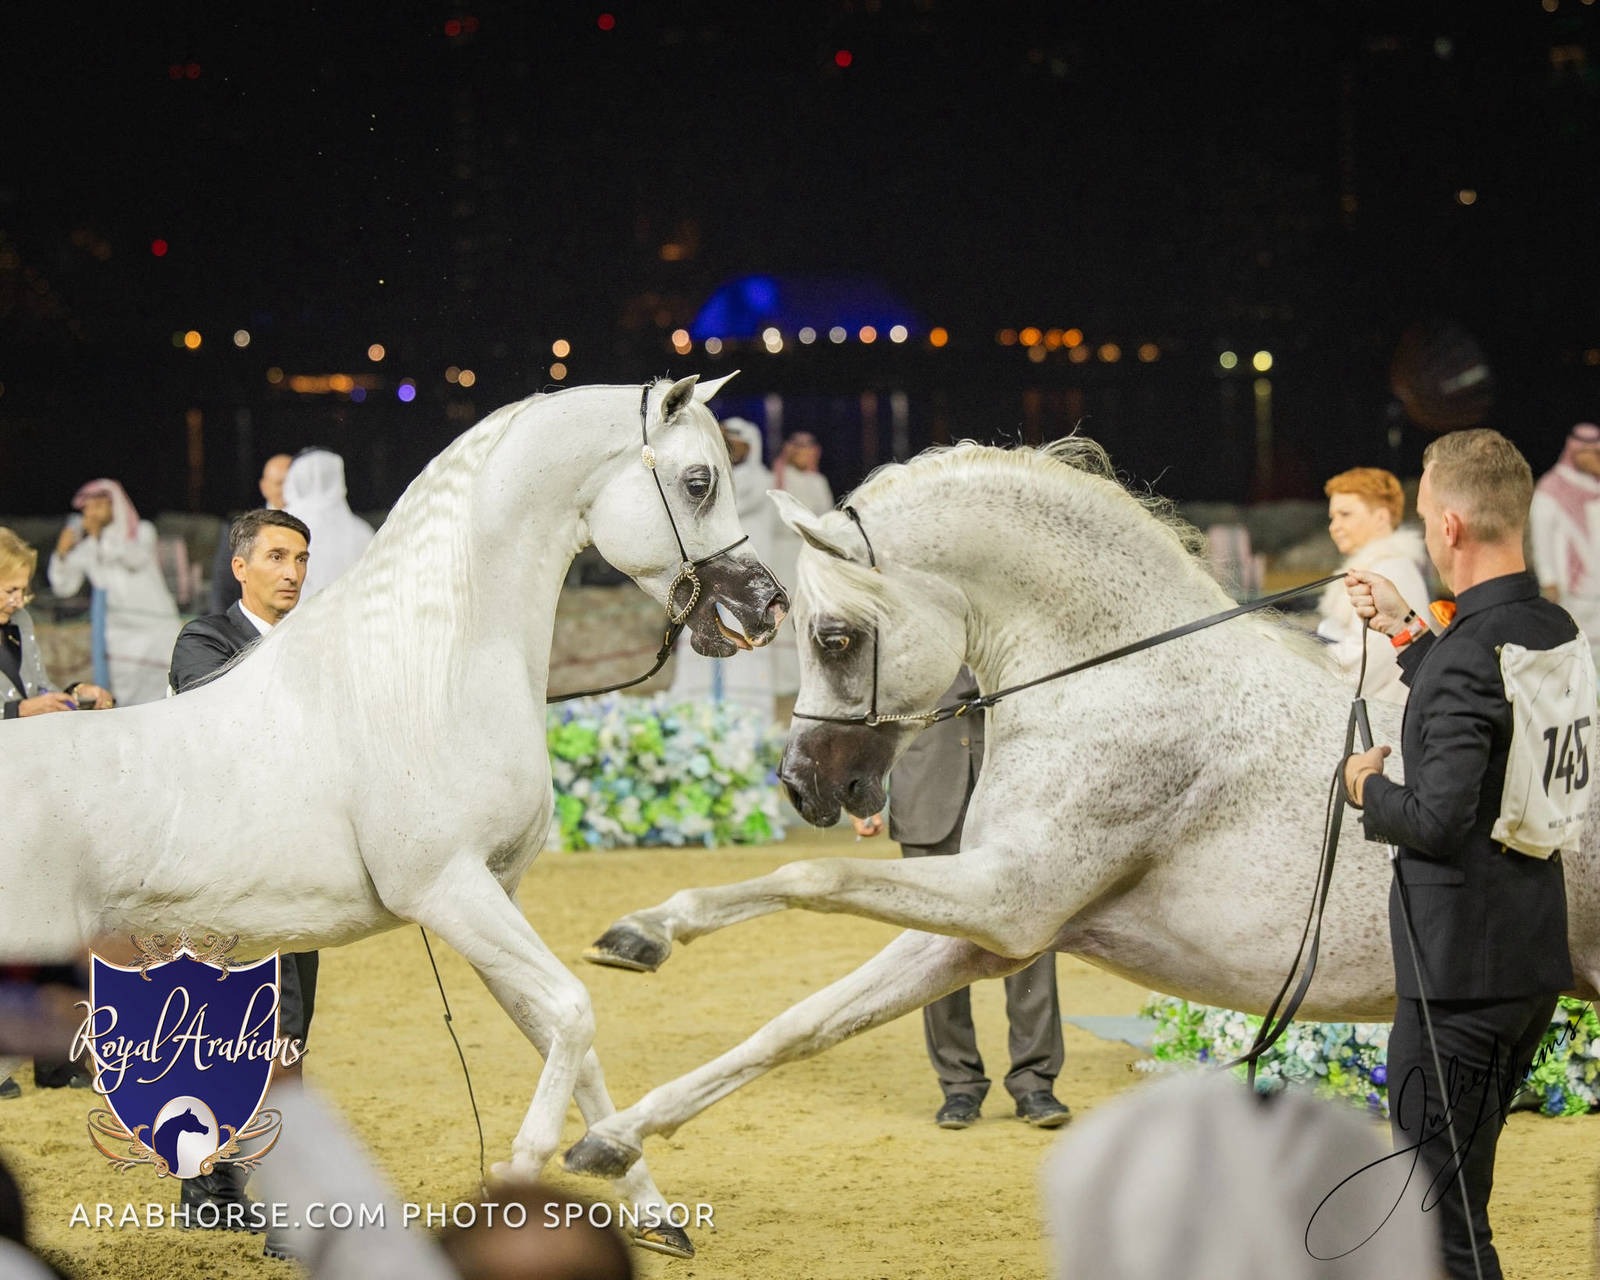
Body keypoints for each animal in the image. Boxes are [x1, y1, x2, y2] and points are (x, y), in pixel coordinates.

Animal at [0, 375, 786, 1257]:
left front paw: (651, 1210)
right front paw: (522, 1175)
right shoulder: (448, 893)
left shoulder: (495, 896)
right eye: (698, 481)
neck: (429, 670)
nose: (767, 606)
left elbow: (566, 1036)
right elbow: (574, 1013)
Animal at [563, 436, 1600, 1180]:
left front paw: (649, 930)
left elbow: (809, 872)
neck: (1115, 679)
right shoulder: (987, 930)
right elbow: (804, 1022)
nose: (803, 786)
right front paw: (614, 1134)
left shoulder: (1007, 901)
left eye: (835, 635)